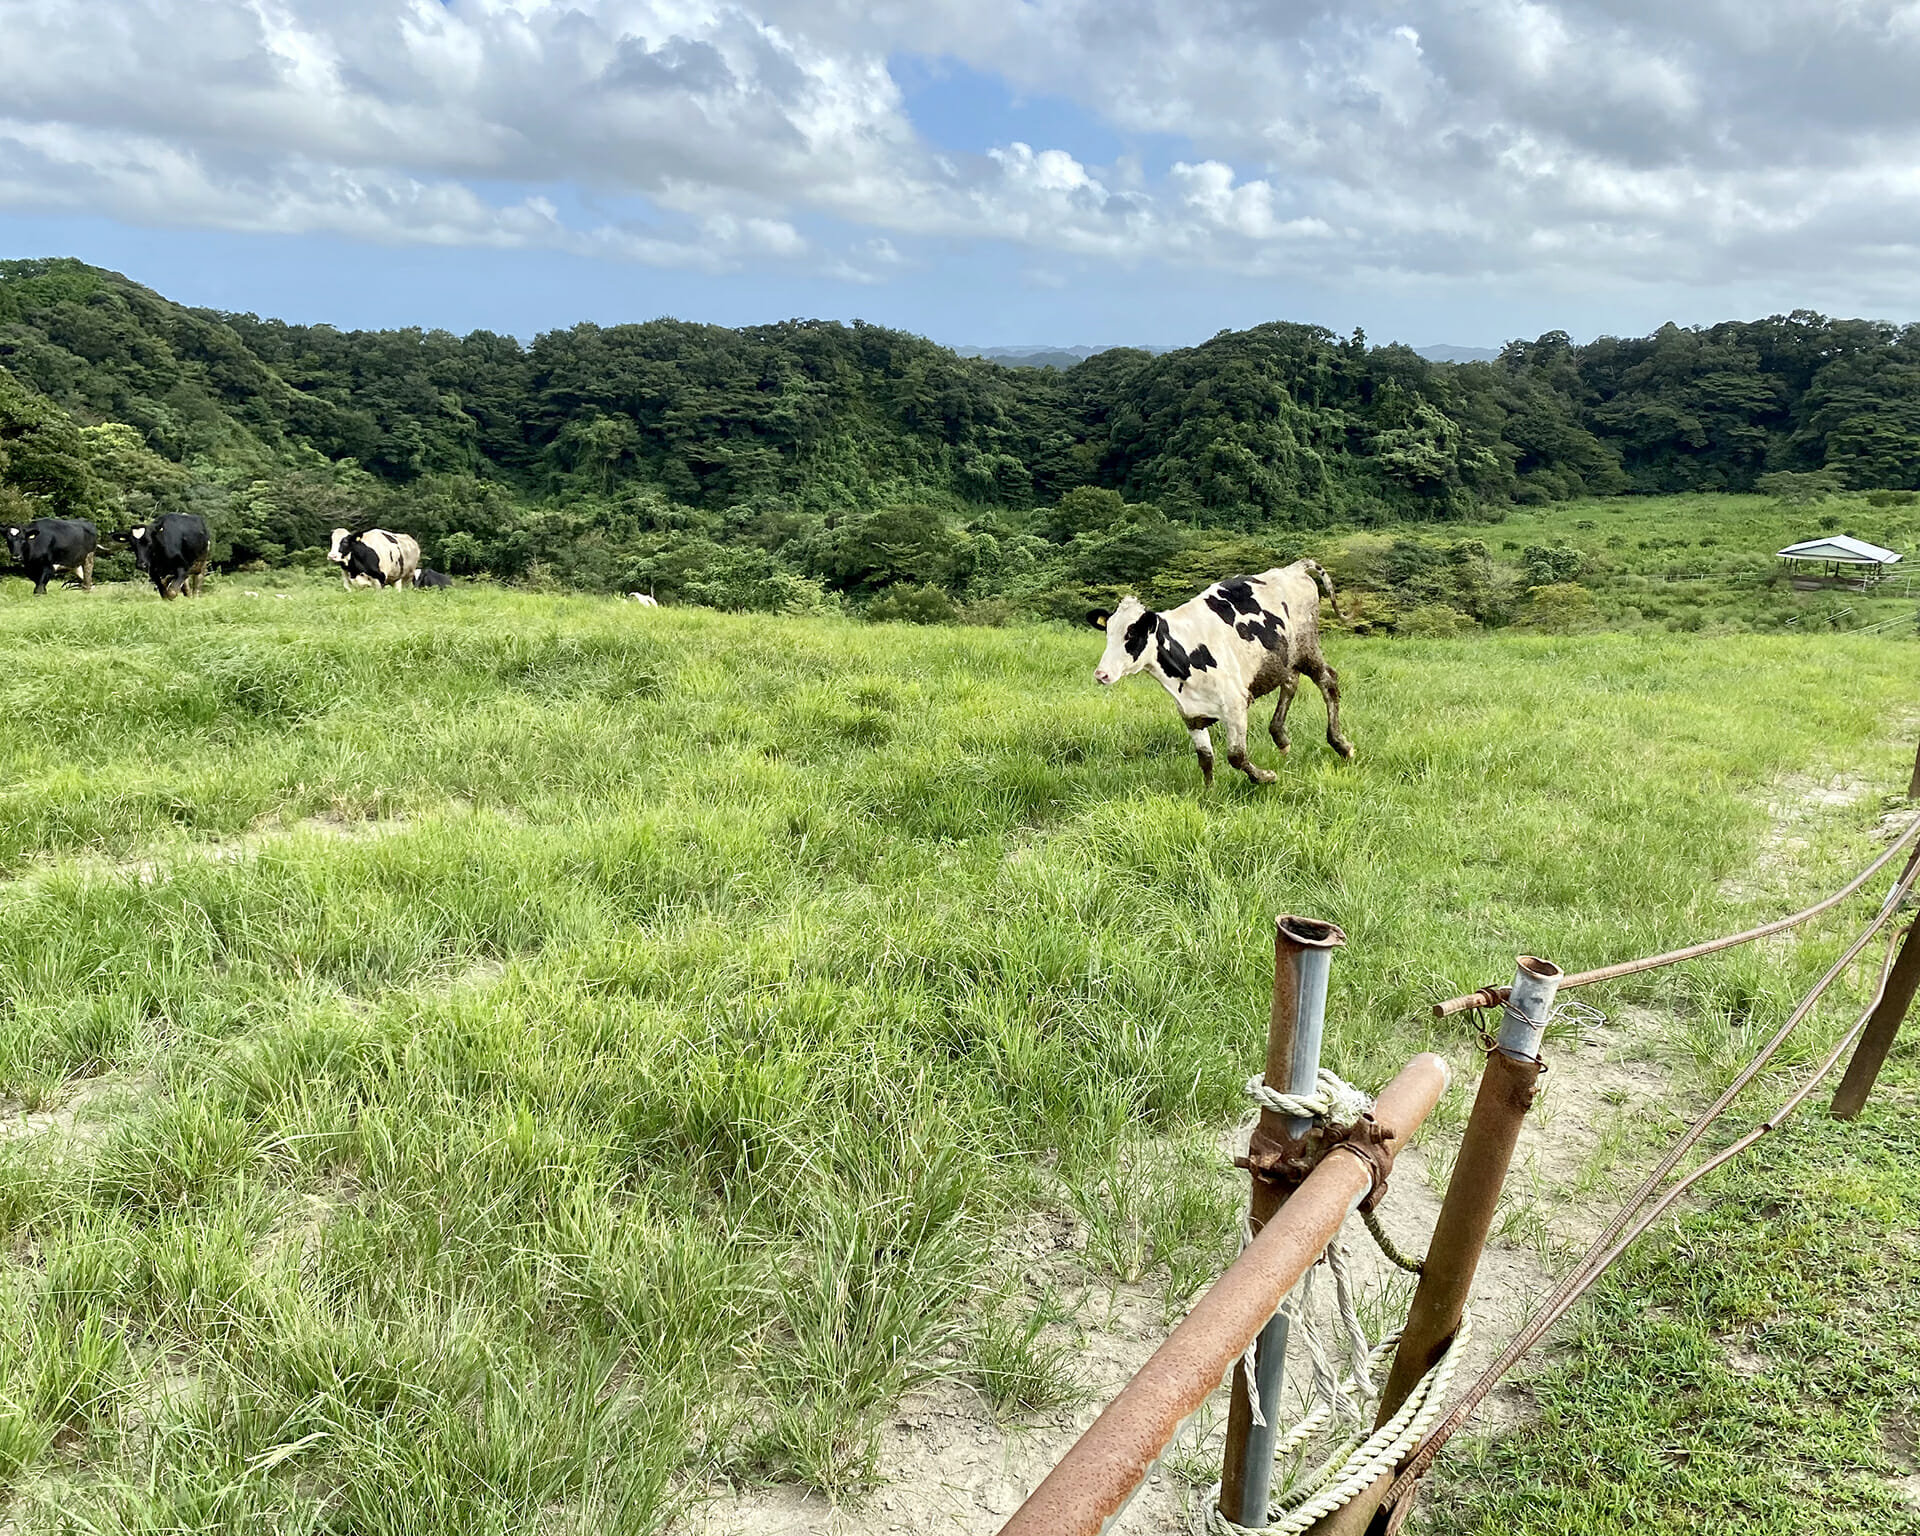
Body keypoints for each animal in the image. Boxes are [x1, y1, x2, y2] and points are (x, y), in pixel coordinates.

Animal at [1090, 556, 1359, 787]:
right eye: (1108, 632)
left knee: (1328, 682)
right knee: (1291, 682)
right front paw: (1209, 794)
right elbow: (1205, 760)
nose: (1101, 674)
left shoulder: (1236, 704)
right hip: (1283, 657)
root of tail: (1293, 568)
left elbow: (1236, 756)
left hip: (1307, 648)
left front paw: (1266, 777)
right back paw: (1281, 738)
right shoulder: (1191, 716)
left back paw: (1342, 746)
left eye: (1132, 634)